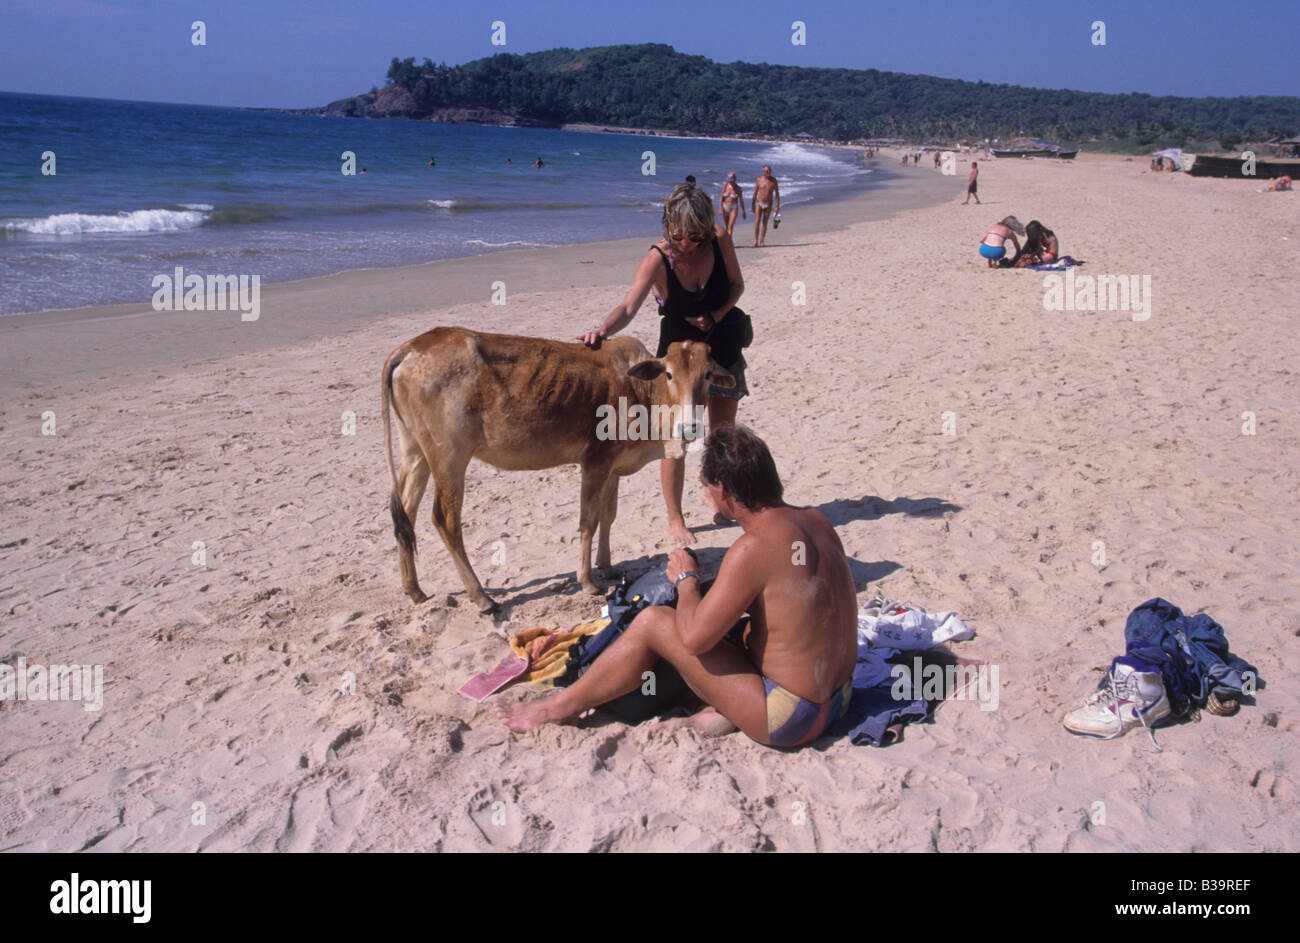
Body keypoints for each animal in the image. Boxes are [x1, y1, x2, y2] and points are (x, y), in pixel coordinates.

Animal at [382, 327, 733, 613]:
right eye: (669, 374)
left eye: (708, 375)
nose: (690, 426)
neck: (639, 392)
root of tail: (411, 347)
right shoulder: (595, 463)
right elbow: (588, 521)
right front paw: (588, 581)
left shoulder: (613, 468)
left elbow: (609, 516)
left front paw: (606, 566)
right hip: (449, 458)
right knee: (445, 520)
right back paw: (481, 596)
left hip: (416, 451)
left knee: (406, 513)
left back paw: (414, 589)